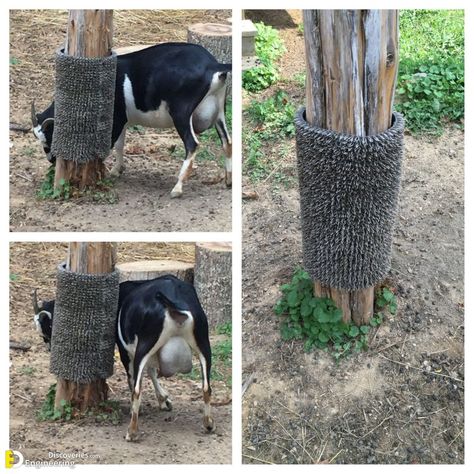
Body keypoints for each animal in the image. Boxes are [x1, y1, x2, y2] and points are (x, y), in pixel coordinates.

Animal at [31, 276, 213, 442]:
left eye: (46, 332)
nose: (49, 349)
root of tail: (173, 305)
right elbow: (152, 371)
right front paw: (164, 400)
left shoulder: (126, 350)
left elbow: (138, 376)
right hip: (204, 342)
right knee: (206, 387)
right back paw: (209, 425)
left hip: (145, 344)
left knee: (137, 389)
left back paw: (131, 432)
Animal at [32, 40, 232, 196]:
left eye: (49, 138)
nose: (51, 160)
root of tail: (213, 65)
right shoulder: (123, 121)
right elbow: (120, 145)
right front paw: (116, 170)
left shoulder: (115, 120)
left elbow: (110, 145)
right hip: (219, 110)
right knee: (227, 142)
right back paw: (228, 181)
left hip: (181, 113)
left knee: (192, 144)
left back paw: (178, 187)